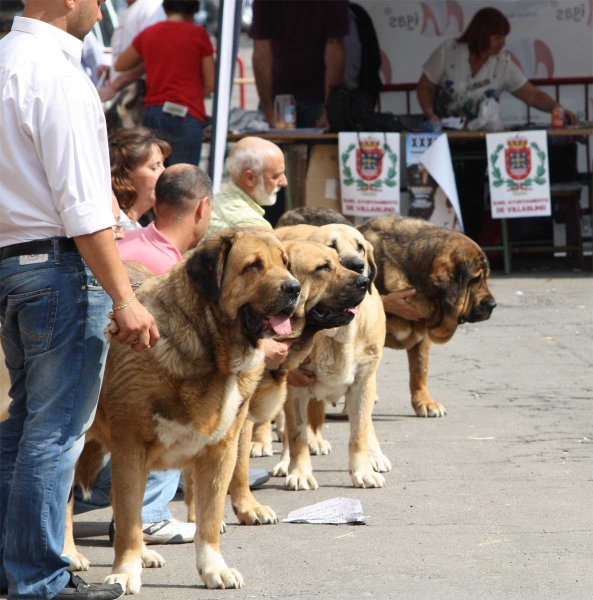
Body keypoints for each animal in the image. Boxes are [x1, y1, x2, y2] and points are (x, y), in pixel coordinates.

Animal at [66, 227, 300, 592]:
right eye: (253, 266)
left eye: (285, 263)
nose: (294, 288)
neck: (211, 350)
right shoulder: (130, 449)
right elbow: (130, 521)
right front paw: (125, 573)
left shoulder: (219, 452)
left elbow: (208, 519)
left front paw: (214, 568)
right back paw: (70, 555)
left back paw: (145, 554)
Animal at [272, 223, 390, 490]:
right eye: (331, 246)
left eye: (360, 246)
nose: (360, 271)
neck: (335, 338)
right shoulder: (294, 389)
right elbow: (296, 435)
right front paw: (299, 472)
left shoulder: (363, 383)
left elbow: (359, 433)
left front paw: (363, 470)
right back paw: (286, 461)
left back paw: (375, 455)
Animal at [278, 209, 494, 420]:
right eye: (476, 279)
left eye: (485, 277)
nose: (492, 304)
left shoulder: (420, 333)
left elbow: (419, 369)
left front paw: (424, 402)